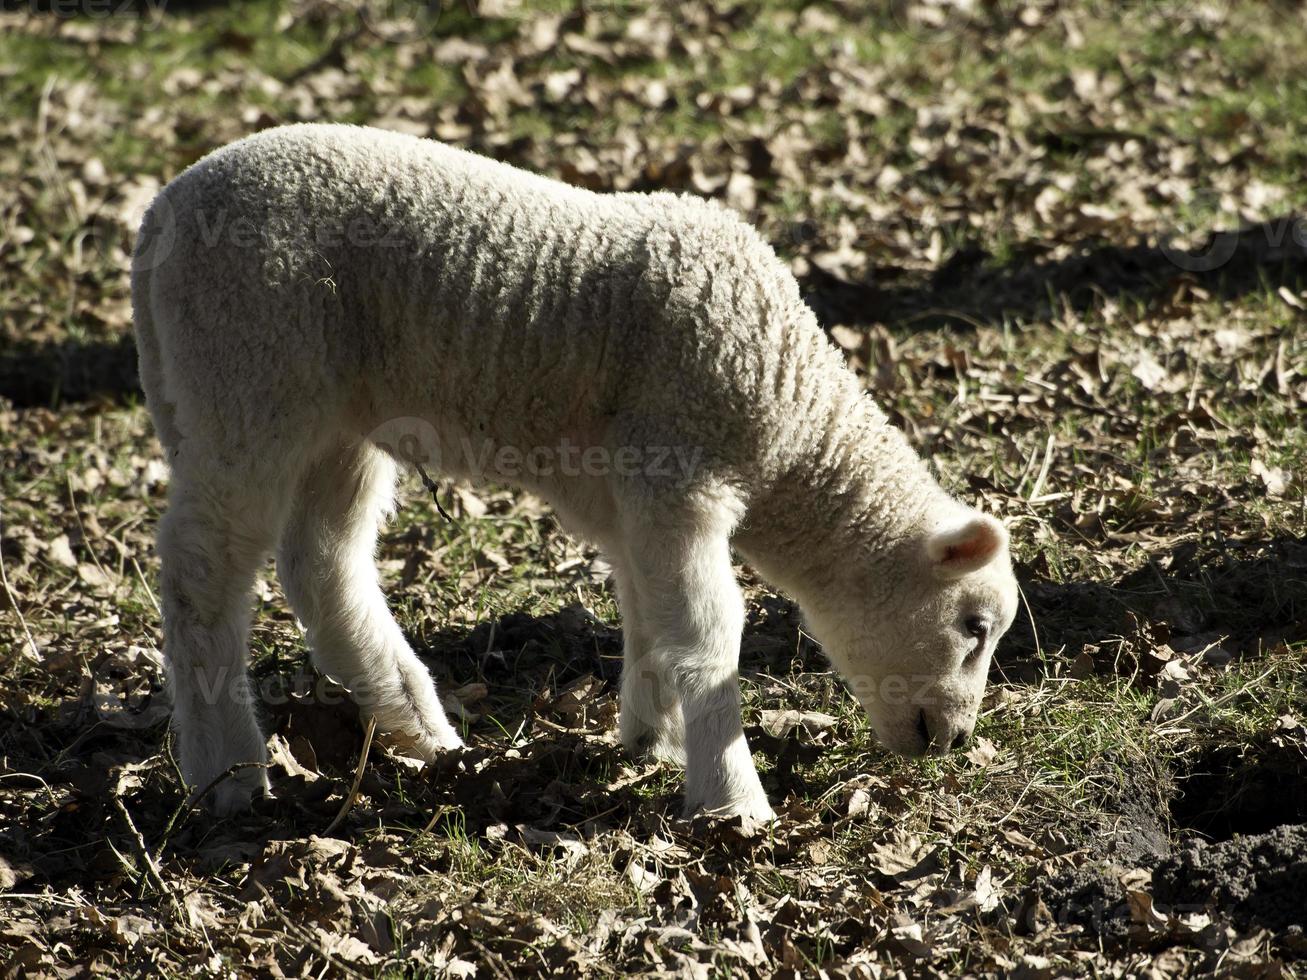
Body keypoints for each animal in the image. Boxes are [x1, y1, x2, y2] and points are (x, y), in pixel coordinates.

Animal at [130, 122, 1019, 820]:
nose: (954, 742)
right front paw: (731, 799)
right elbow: (708, 632)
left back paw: (422, 731)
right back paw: (226, 774)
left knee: (323, 563)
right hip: (249, 368)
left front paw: (651, 739)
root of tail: (161, 212)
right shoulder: (678, 463)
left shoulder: (630, 491)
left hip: (334, 415)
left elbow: (650, 612)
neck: (788, 425)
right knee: (203, 571)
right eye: (973, 629)